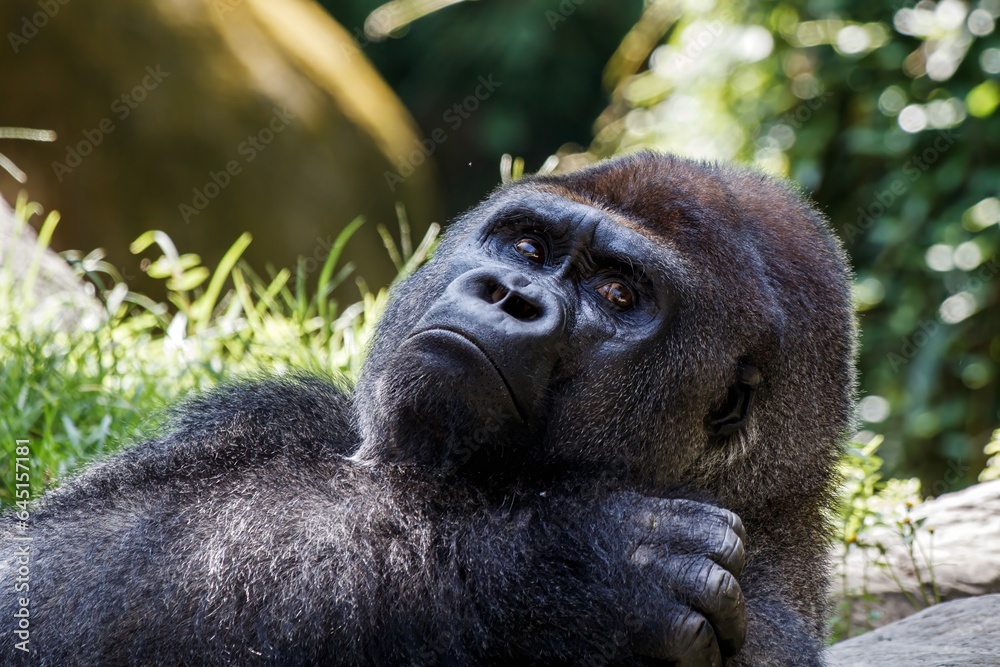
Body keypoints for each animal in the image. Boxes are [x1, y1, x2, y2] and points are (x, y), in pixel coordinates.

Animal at [1, 152, 855, 666]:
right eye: (528, 248)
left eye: (619, 293)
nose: (509, 295)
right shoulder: (275, 412)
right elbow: (41, 562)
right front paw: (577, 565)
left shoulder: (760, 624)